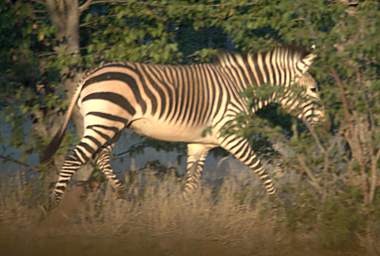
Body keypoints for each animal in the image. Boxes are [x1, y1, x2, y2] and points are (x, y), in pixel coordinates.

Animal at [41, 46, 324, 208]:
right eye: (312, 89)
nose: (324, 122)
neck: (241, 88)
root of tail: (90, 73)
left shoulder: (200, 143)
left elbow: (191, 183)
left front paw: (184, 215)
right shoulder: (231, 136)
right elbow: (260, 168)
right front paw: (277, 206)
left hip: (109, 125)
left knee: (100, 158)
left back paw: (125, 196)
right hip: (105, 121)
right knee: (74, 158)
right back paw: (52, 207)